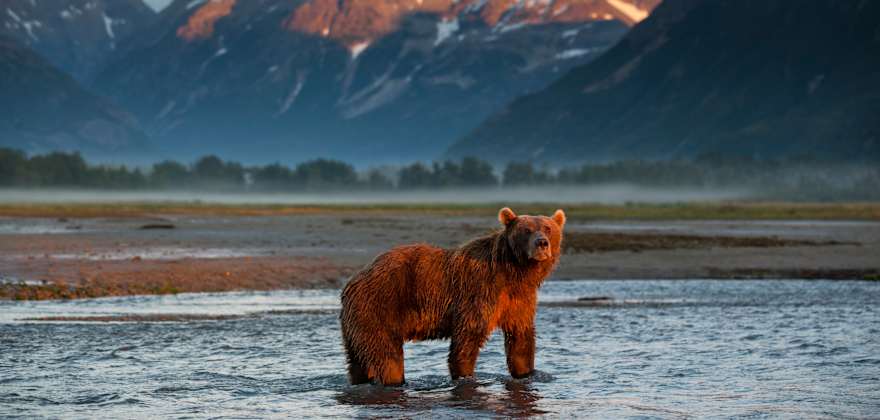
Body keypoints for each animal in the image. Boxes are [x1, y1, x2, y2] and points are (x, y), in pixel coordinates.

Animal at [339, 207, 566, 386]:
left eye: (548, 228)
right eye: (526, 230)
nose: (542, 243)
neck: (515, 272)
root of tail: (352, 282)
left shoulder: (519, 299)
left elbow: (520, 338)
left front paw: (527, 374)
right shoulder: (480, 291)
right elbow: (468, 338)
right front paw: (465, 377)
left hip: (357, 325)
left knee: (357, 361)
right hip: (381, 307)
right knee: (388, 358)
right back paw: (394, 382)